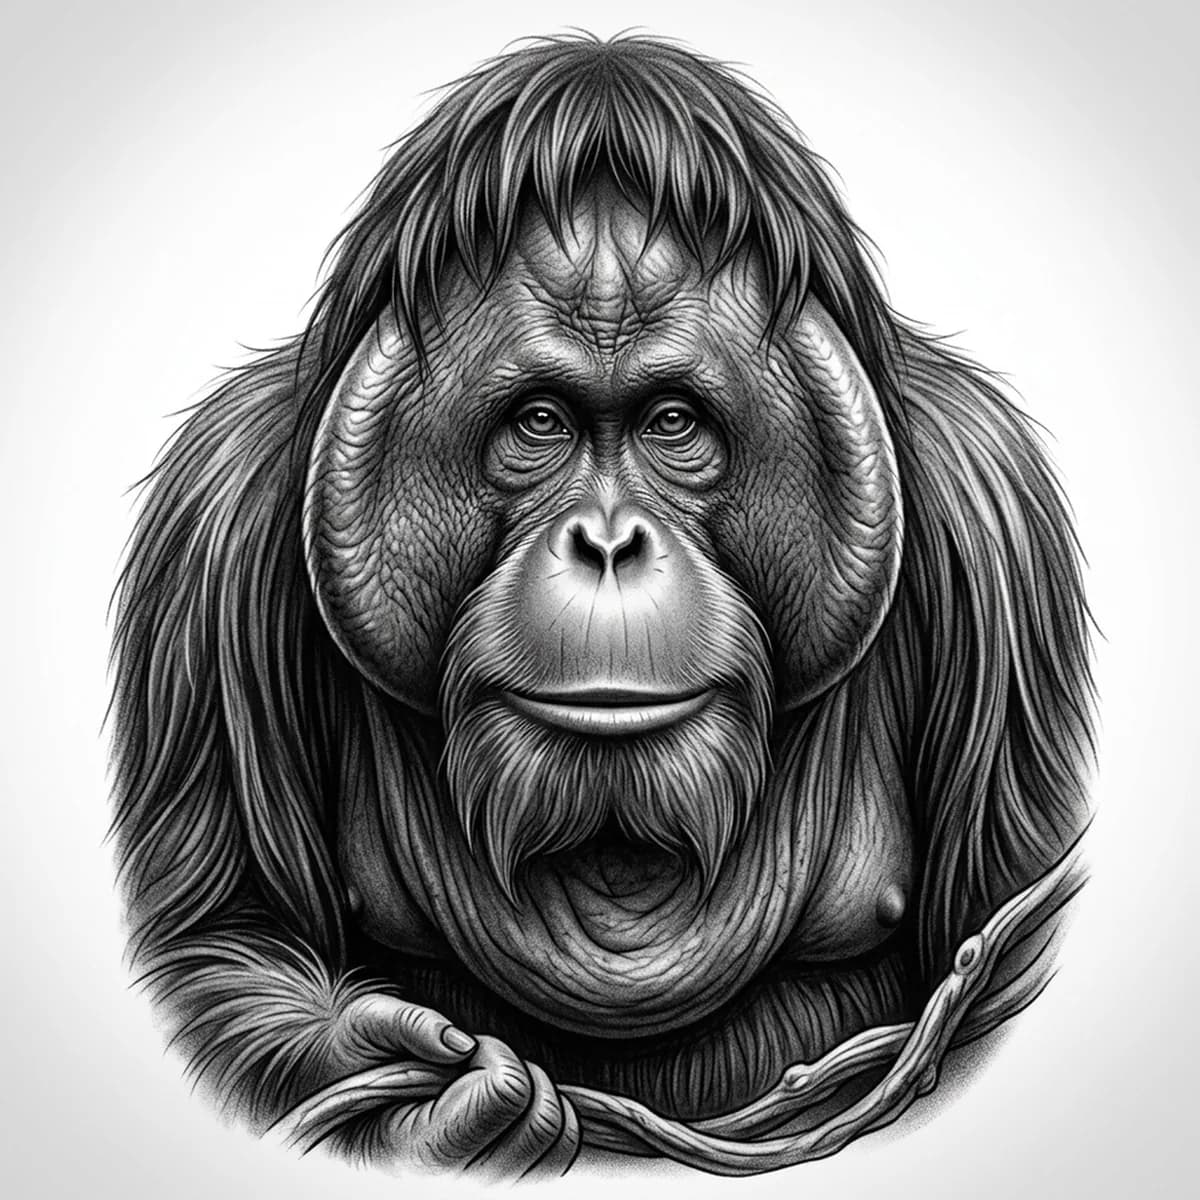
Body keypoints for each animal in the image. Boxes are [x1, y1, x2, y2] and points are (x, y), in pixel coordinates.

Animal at [109, 33, 1093, 1178]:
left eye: (673, 422)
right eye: (541, 422)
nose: (611, 542)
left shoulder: (996, 513)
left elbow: (1015, 924)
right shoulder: (212, 525)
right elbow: (217, 932)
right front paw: (453, 1102)